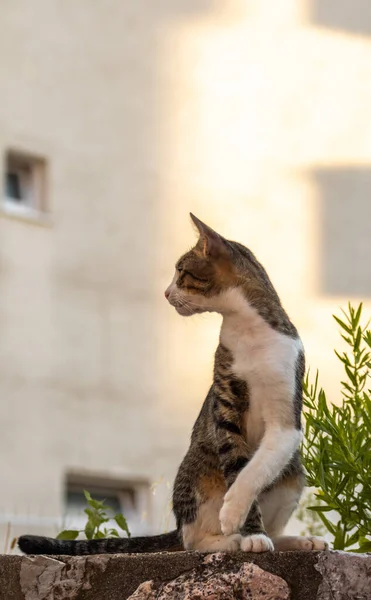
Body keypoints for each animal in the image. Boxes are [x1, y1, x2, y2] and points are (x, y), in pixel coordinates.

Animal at [18, 213, 328, 556]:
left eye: (181, 271)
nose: (165, 293)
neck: (249, 331)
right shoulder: (225, 405)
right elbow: (236, 464)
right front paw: (246, 531)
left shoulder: (286, 417)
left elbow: (253, 469)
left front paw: (238, 514)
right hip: (198, 475)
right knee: (192, 540)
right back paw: (230, 540)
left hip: (294, 472)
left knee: (273, 512)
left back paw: (297, 541)